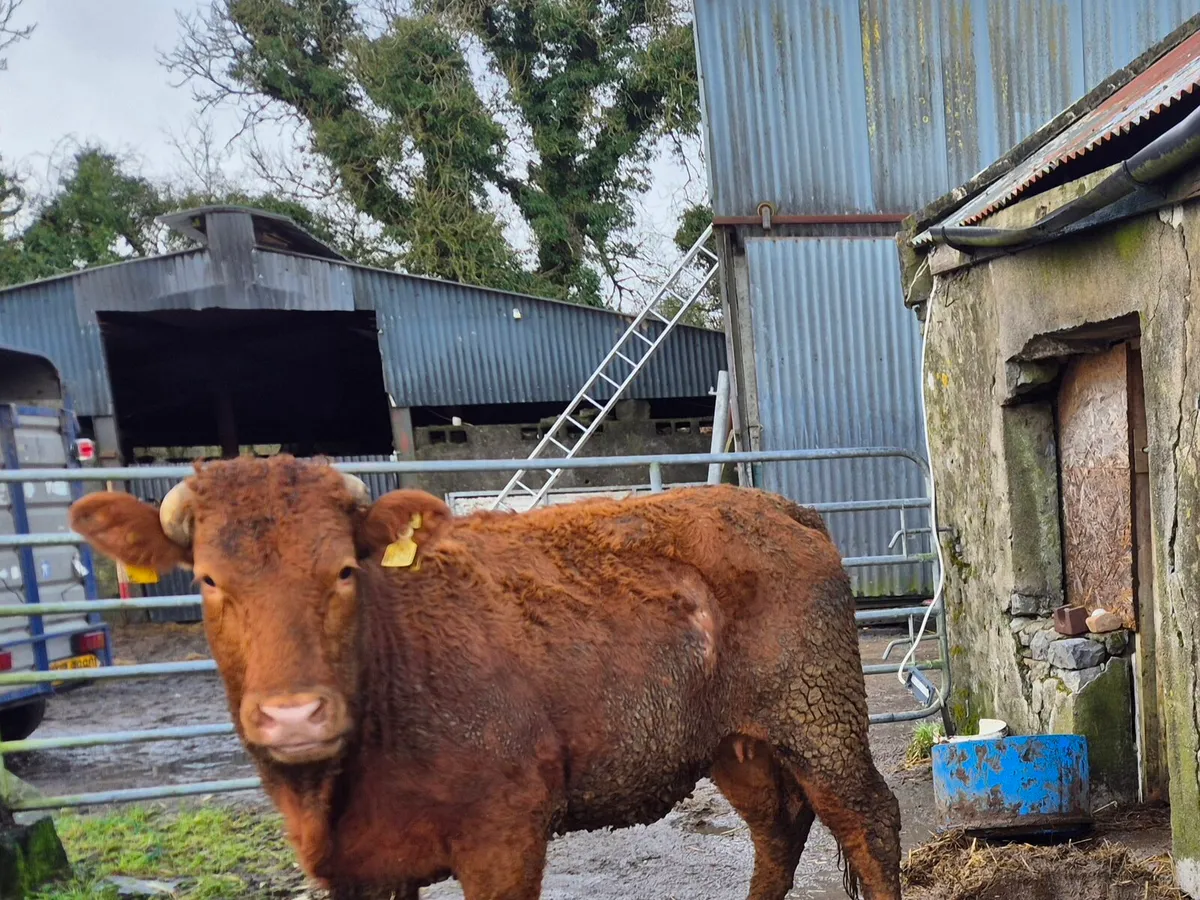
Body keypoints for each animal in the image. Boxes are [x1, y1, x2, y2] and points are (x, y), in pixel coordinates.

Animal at [69, 456, 900, 900]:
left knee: (868, 819)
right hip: (737, 742)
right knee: (778, 828)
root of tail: (773, 503)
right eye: (208, 579)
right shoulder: (365, 870)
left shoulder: (505, 833)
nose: (295, 716)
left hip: (817, 715)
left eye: (344, 571)